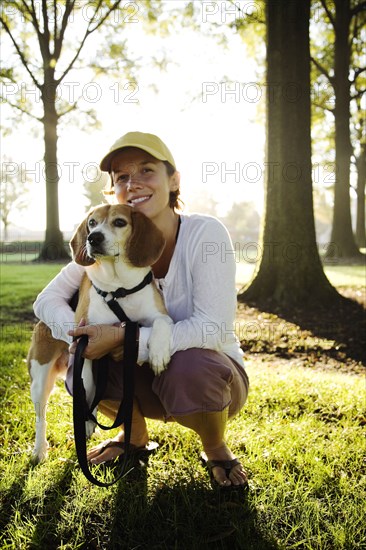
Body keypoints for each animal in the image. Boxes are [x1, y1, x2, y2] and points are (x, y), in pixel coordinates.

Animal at [27, 206, 173, 466]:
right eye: (92, 223)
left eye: (119, 222)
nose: (93, 237)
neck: (118, 287)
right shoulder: (84, 340)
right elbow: (87, 385)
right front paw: (86, 419)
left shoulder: (161, 316)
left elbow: (160, 325)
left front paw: (158, 355)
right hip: (40, 380)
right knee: (41, 416)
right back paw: (39, 450)